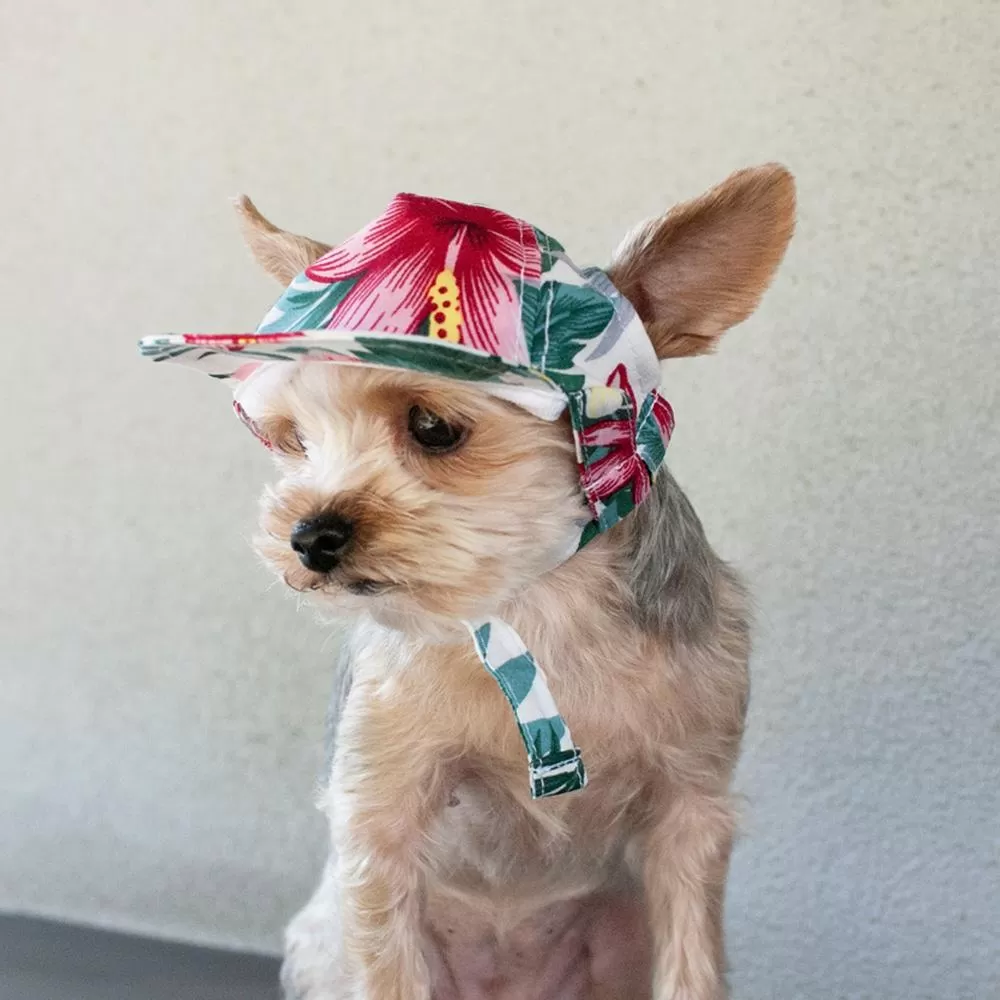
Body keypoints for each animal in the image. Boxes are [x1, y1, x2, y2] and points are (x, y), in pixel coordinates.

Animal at [174, 166, 796, 1000]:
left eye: (433, 426)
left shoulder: (692, 801)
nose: (308, 537)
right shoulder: (380, 814)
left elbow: (692, 962)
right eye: (295, 441)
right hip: (327, 940)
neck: (533, 604)